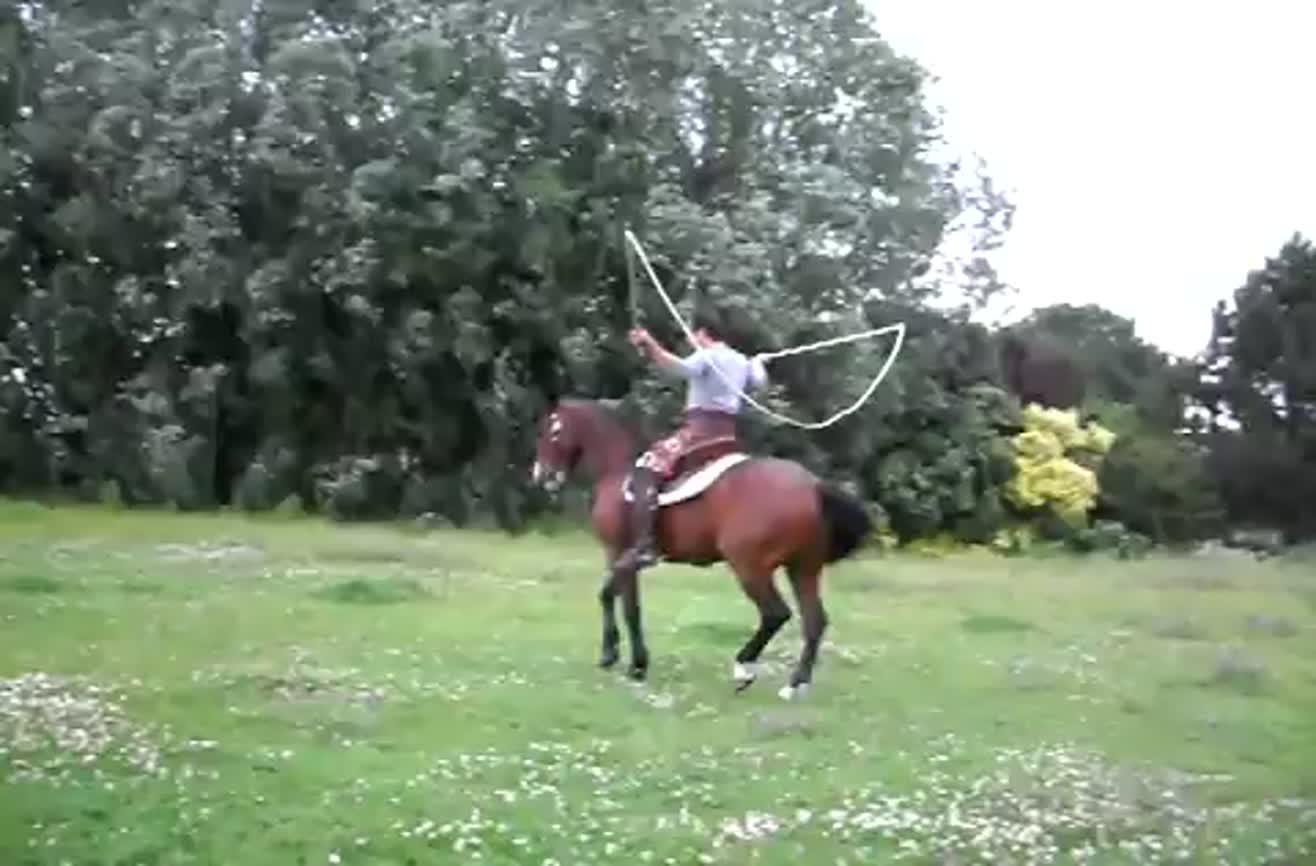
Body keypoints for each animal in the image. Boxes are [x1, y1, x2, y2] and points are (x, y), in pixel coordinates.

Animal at [530, 397, 872, 700]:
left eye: (552, 431)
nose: (541, 475)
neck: (617, 473)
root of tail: (812, 486)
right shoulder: (627, 560)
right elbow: (629, 605)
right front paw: (634, 661)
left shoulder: (617, 552)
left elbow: (613, 600)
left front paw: (620, 658)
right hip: (802, 568)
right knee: (814, 621)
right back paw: (795, 684)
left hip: (749, 566)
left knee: (776, 614)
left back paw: (744, 668)